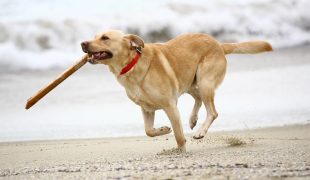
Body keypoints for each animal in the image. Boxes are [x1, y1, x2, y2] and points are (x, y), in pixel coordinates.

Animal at [80, 29, 272, 152]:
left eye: (105, 38)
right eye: (95, 36)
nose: (83, 43)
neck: (132, 64)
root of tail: (218, 44)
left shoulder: (170, 105)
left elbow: (179, 135)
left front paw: (181, 150)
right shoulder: (147, 109)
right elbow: (148, 131)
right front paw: (164, 130)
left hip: (205, 82)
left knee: (213, 111)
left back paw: (200, 131)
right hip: (188, 82)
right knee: (198, 98)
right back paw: (193, 119)